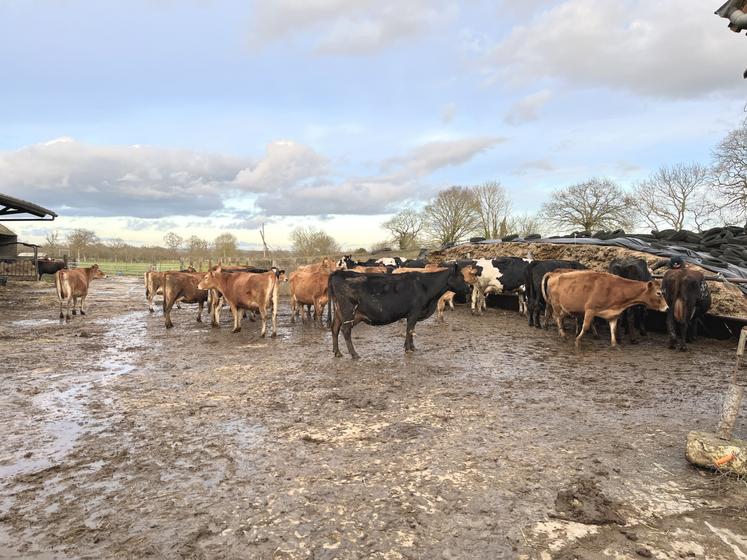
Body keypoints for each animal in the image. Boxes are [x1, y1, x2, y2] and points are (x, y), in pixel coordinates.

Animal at [540, 270, 668, 348]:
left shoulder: (613, 315)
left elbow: (613, 330)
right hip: (557, 305)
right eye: (658, 293)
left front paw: (615, 345)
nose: (667, 308)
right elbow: (585, 327)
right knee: (556, 317)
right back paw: (563, 335)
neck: (615, 288)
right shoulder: (590, 310)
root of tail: (554, 274)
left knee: (557, 317)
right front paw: (577, 341)